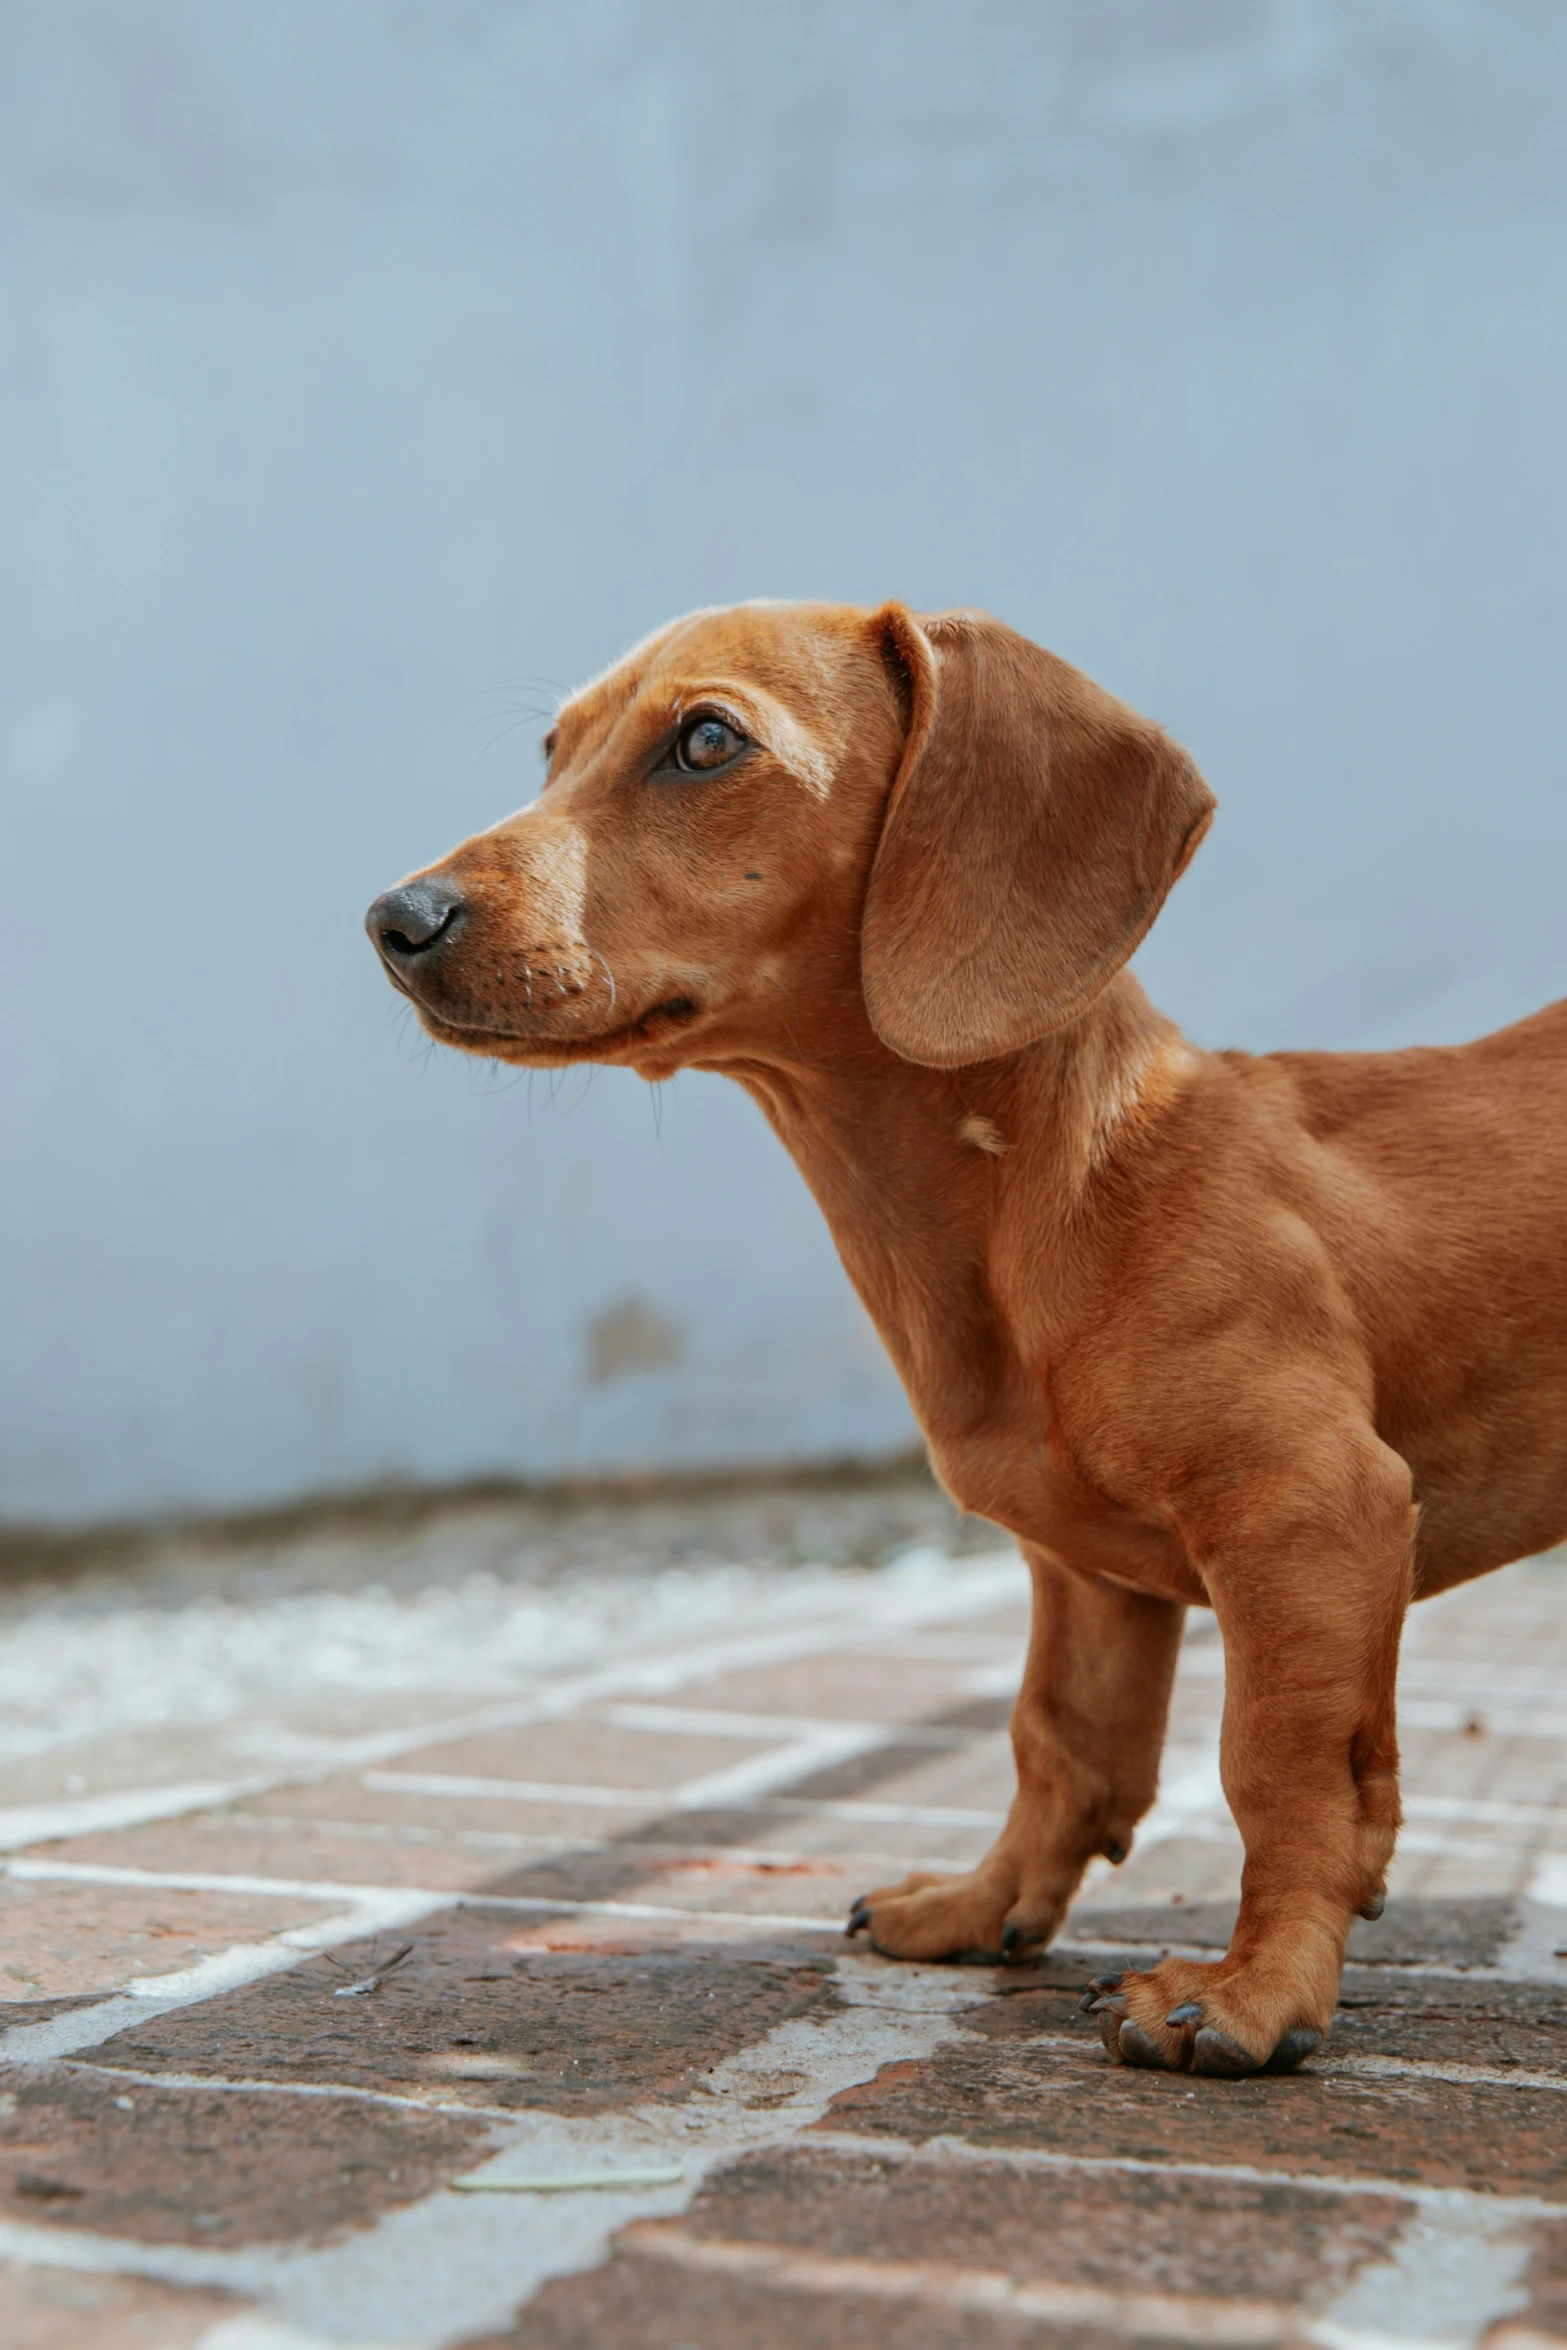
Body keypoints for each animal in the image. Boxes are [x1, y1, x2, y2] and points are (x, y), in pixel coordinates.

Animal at [368, 606, 1567, 2077]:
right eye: (552, 749)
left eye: (703, 741)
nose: (394, 919)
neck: (1052, 1189)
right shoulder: (1088, 1580)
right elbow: (1059, 1745)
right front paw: (985, 1904)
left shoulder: (1311, 1516)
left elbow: (1274, 1770)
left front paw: (1255, 1990)